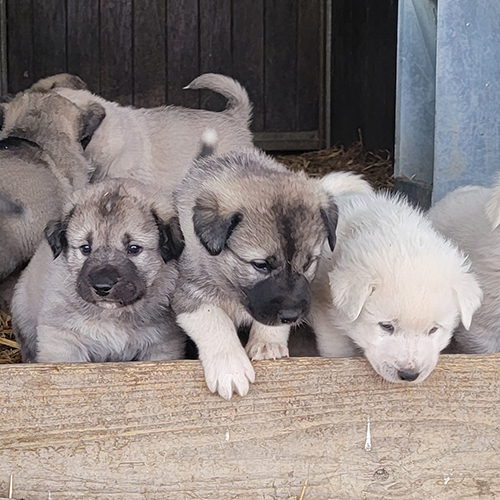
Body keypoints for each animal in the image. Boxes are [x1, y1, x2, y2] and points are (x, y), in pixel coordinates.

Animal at [12, 180, 188, 364]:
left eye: (133, 248)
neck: (112, 314)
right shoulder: (62, 339)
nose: (102, 287)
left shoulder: (162, 344)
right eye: (85, 248)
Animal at [173, 145, 340, 398]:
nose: (291, 315)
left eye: (308, 263)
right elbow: (214, 319)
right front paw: (229, 367)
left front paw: (267, 342)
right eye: (261, 265)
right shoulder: (186, 294)